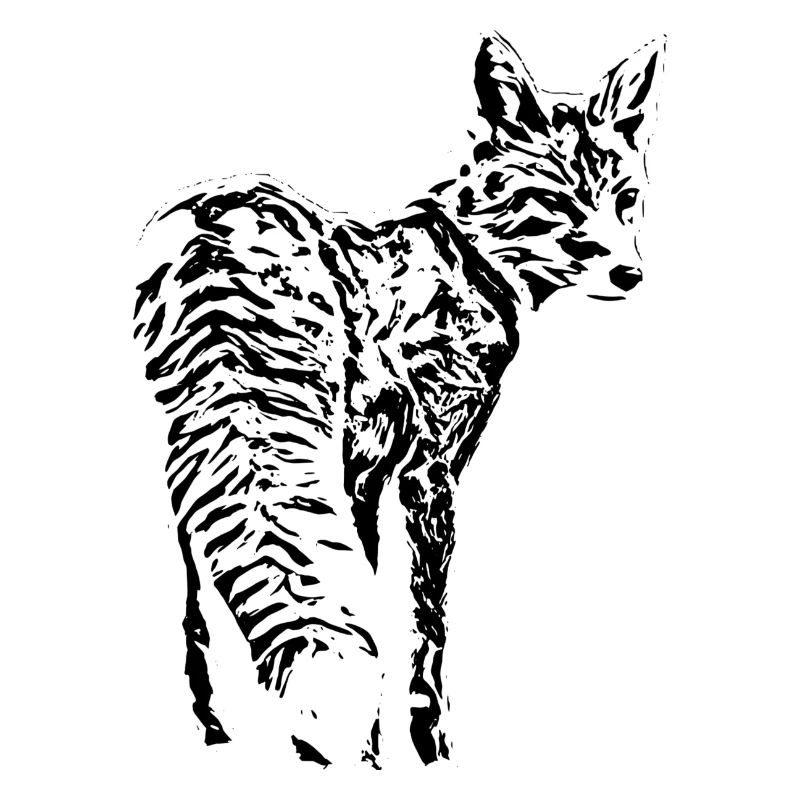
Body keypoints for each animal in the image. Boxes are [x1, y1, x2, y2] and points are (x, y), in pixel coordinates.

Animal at [133, 32, 665, 767]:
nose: (628, 274)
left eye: (626, 196)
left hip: (195, 467)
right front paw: (424, 743)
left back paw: (218, 735)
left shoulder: (363, 473)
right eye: (556, 202)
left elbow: (363, 593)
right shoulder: (428, 471)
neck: (470, 262)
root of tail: (216, 227)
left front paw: (368, 746)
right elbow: (423, 621)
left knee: (202, 608)